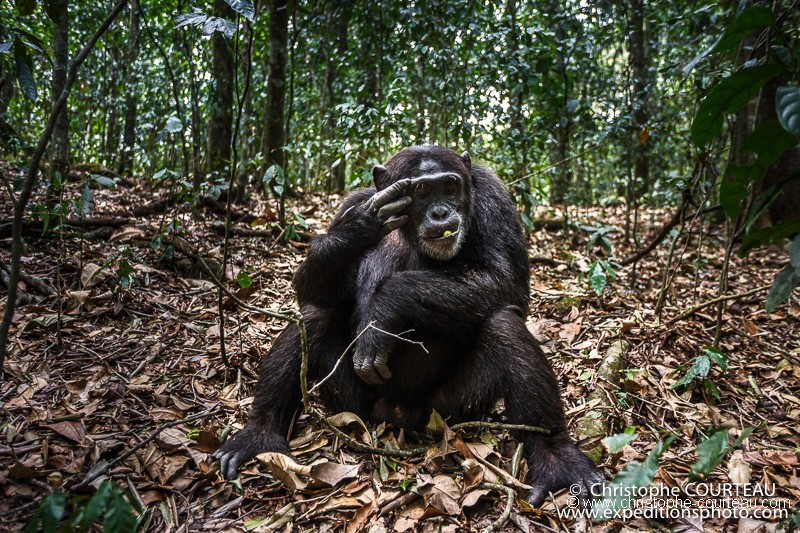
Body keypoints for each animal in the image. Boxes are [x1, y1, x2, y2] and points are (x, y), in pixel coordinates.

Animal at [216, 144, 604, 502]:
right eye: (420, 192)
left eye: (449, 186)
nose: (440, 211)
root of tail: (395, 414)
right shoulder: (350, 203)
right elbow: (310, 292)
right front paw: (360, 228)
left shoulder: (495, 199)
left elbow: (505, 282)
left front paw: (383, 312)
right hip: (352, 404)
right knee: (314, 317)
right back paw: (258, 434)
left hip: (449, 410)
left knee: (503, 324)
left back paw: (557, 459)